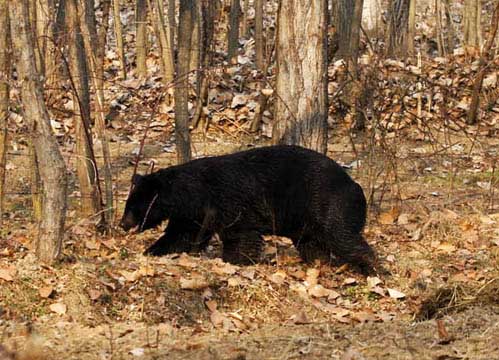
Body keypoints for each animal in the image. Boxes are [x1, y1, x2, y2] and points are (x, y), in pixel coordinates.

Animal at [120, 146, 376, 270]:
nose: (122, 224)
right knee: (313, 244)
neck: (193, 194)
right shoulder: (193, 215)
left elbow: (240, 236)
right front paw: (152, 251)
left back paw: (370, 266)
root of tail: (355, 185)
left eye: (133, 206)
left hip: (327, 203)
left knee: (341, 236)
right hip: (305, 222)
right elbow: (181, 236)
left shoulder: (229, 204)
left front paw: (235, 260)